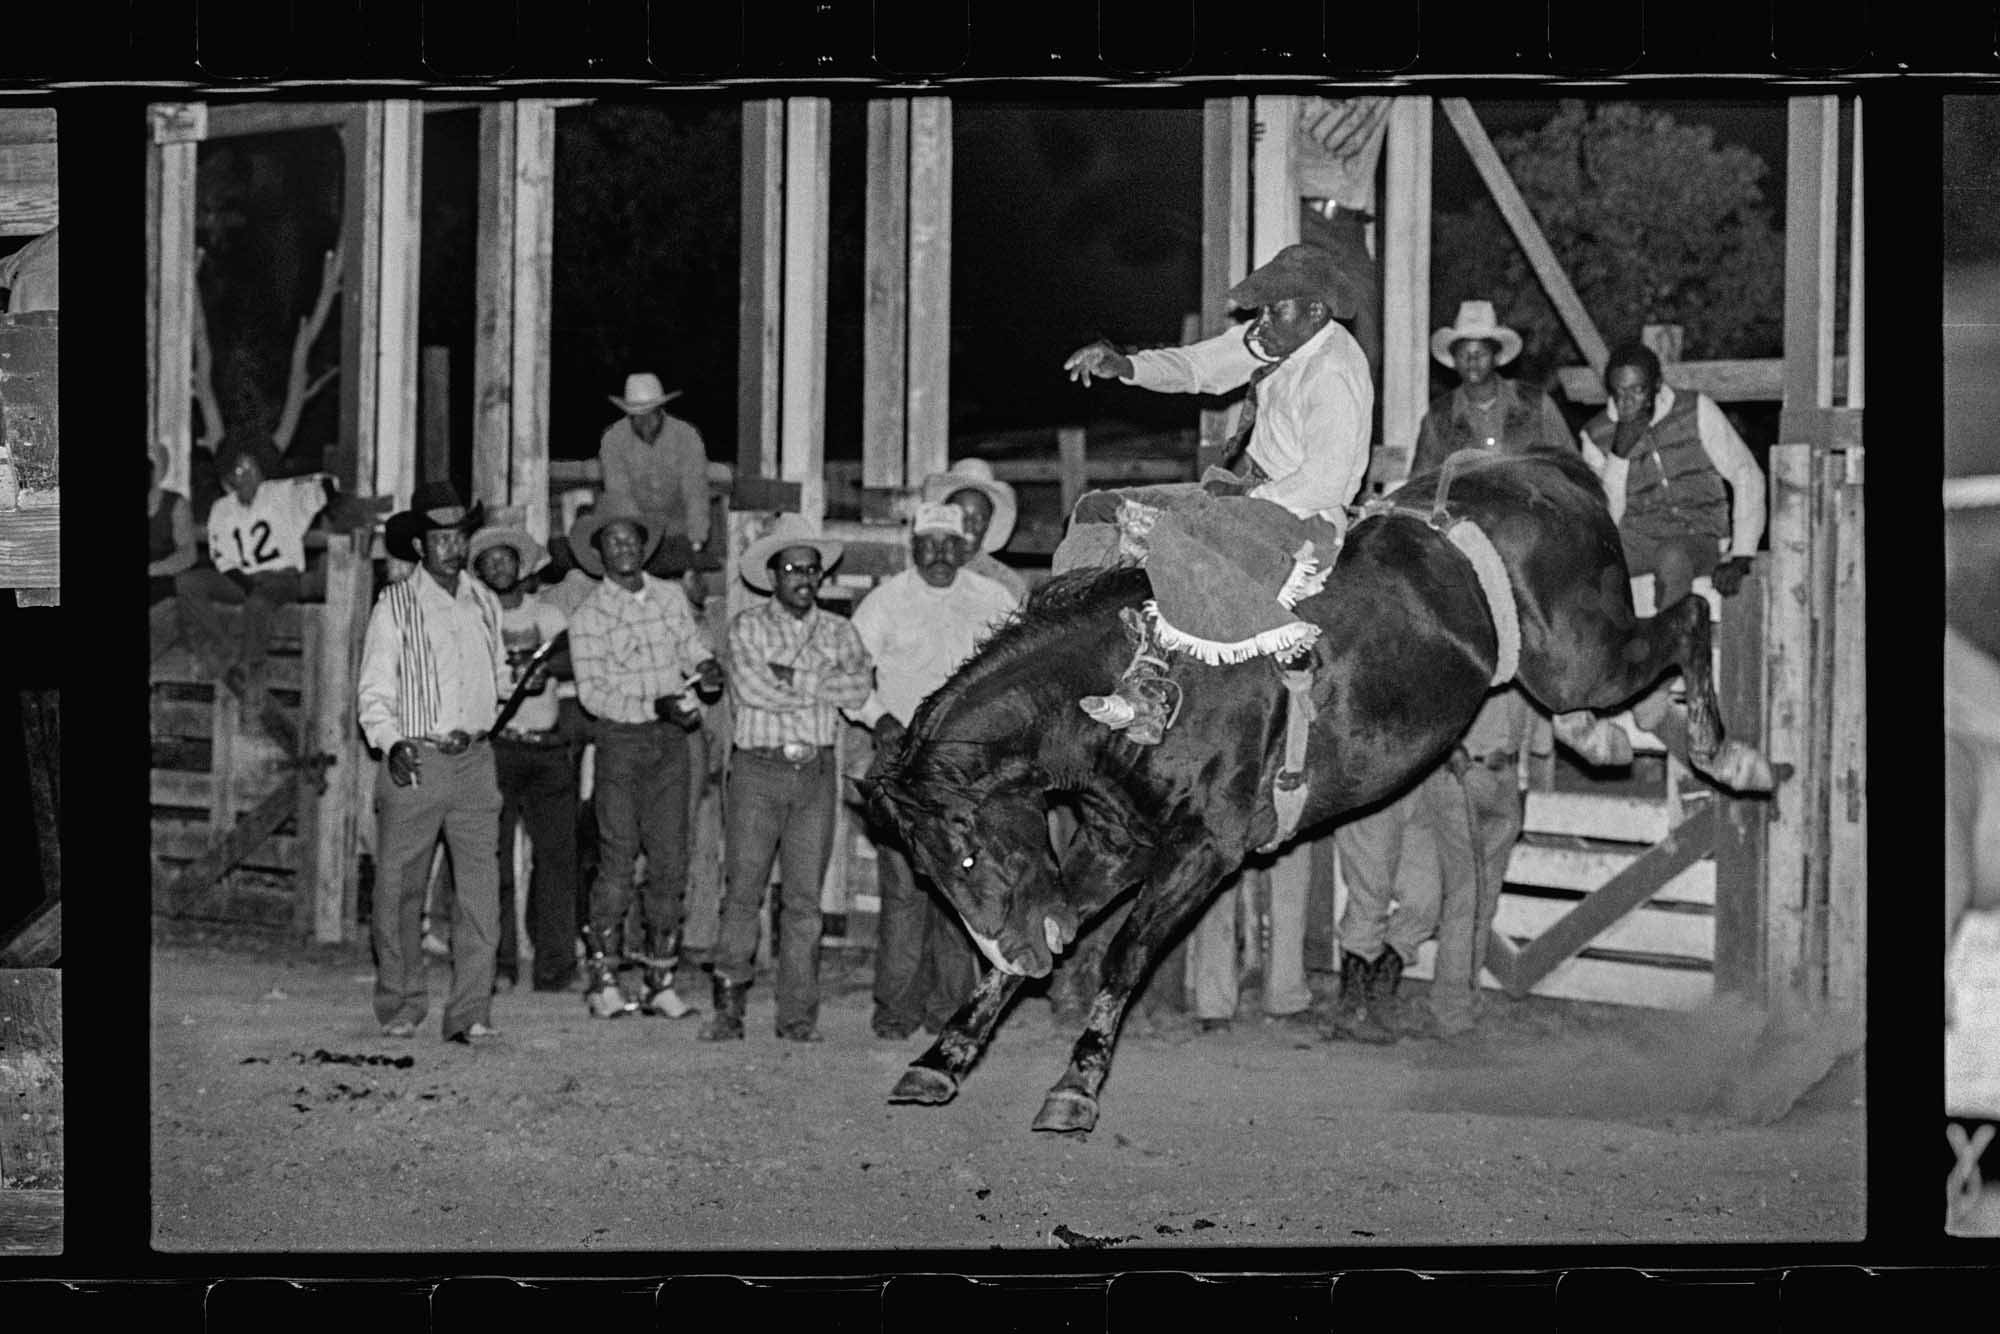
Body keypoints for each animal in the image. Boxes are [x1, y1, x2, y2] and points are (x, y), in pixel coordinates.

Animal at [860, 452, 1784, 1136]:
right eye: (928, 870)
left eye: (968, 848)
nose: (1026, 951)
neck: (1135, 672)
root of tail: (1548, 468)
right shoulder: (1117, 843)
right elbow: (1047, 946)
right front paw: (940, 1060)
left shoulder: (1207, 850)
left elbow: (1126, 953)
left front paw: (1076, 1086)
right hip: (1564, 665)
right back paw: (1605, 737)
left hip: (1579, 653)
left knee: (1689, 619)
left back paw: (1730, 754)